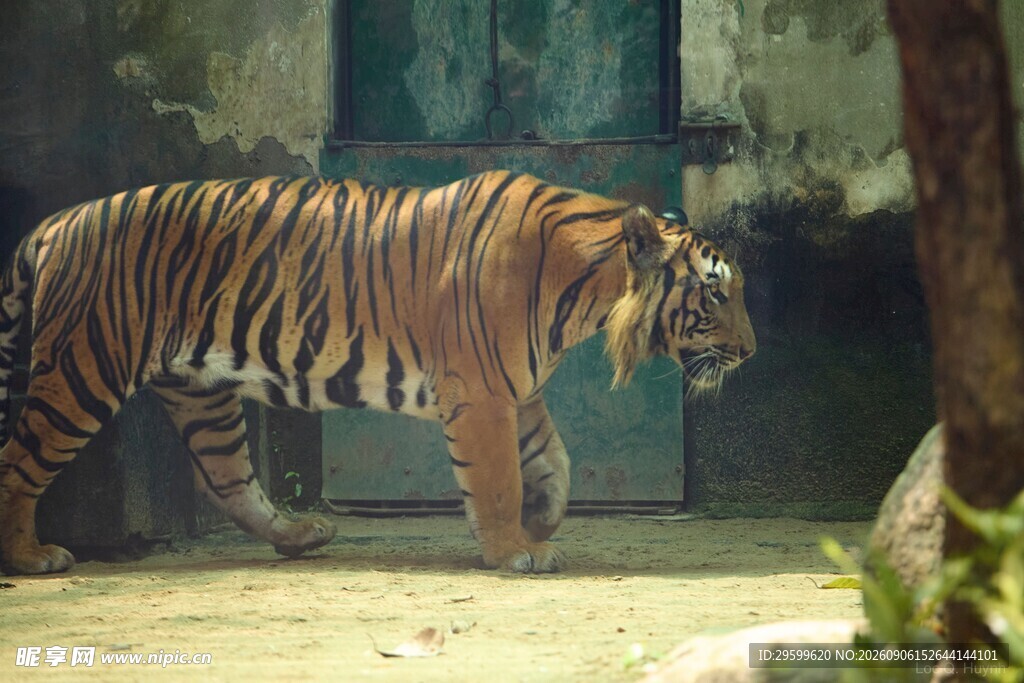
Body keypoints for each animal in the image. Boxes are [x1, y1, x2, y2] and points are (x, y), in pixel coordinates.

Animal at [0, 171, 755, 575]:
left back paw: (300, 536)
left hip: (200, 391)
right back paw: (31, 556)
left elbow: (555, 462)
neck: (585, 292)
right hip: (83, 370)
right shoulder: (482, 392)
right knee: (19, 459)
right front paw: (515, 548)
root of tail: (56, 221)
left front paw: (542, 519)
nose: (750, 352)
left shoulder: (519, 388)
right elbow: (499, 477)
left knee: (228, 478)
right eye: (716, 292)